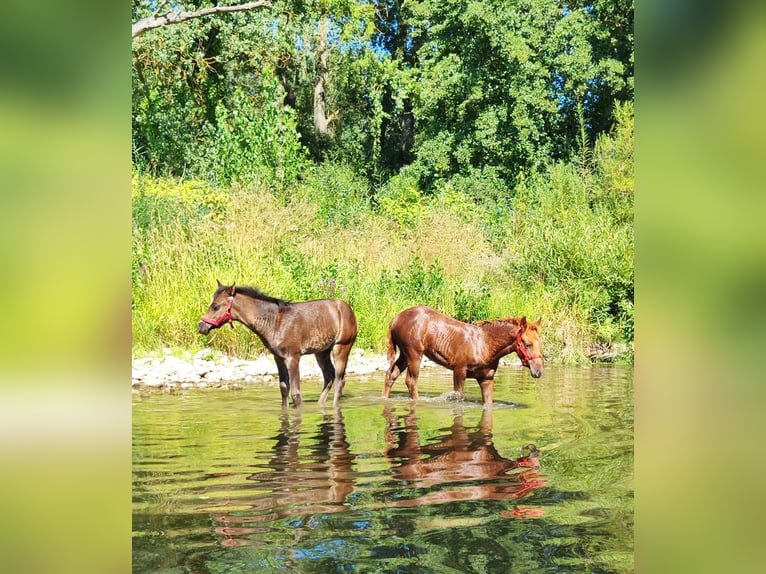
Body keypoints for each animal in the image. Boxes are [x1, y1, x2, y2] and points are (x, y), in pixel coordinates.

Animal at [198, 281, 358, 408]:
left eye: (216, 306)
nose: (201, 326)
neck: (274, 322)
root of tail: (347, 308)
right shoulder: (278, 358)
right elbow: (284, 389)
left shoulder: (293, 357)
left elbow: (296, 393)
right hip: (321, 352)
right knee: (329, 376)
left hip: (341, 347)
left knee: (339, 380)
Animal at [381, 306, 543, 406]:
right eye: (527, 344)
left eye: (540, 343)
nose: (539, 371)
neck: (486, 345)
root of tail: (394, 319)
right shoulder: (459, 371)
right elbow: (458, 398)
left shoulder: (486, 379)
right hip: (414, 354)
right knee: (411, 381)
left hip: (404, 354)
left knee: (390, 375)